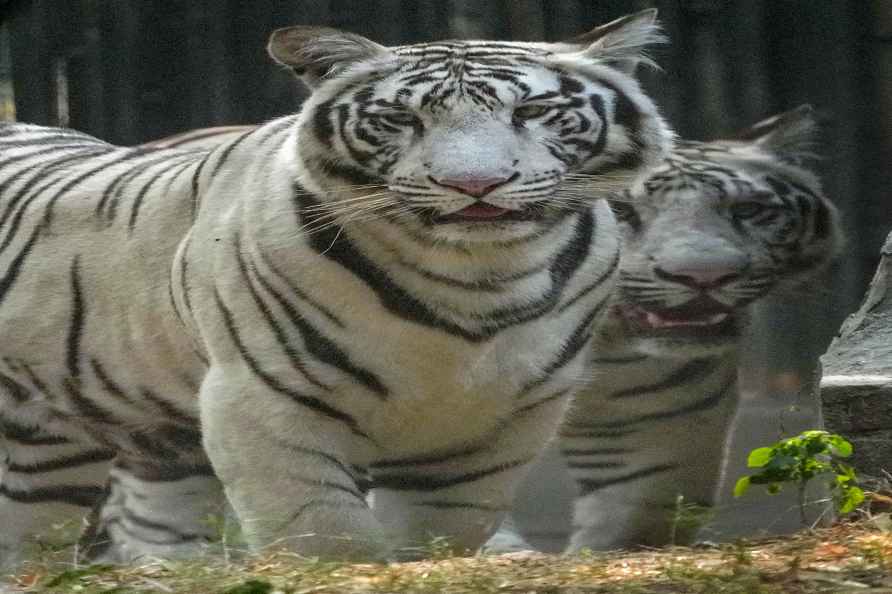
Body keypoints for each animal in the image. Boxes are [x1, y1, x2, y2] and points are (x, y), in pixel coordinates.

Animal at [0, 10, 672, 564]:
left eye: (530, 112)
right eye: (402, 118)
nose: (473, 185)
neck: (478, 278)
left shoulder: (500, 420)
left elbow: (440, 530)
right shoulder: (263, 395)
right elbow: (326, 533)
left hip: (44, 457)